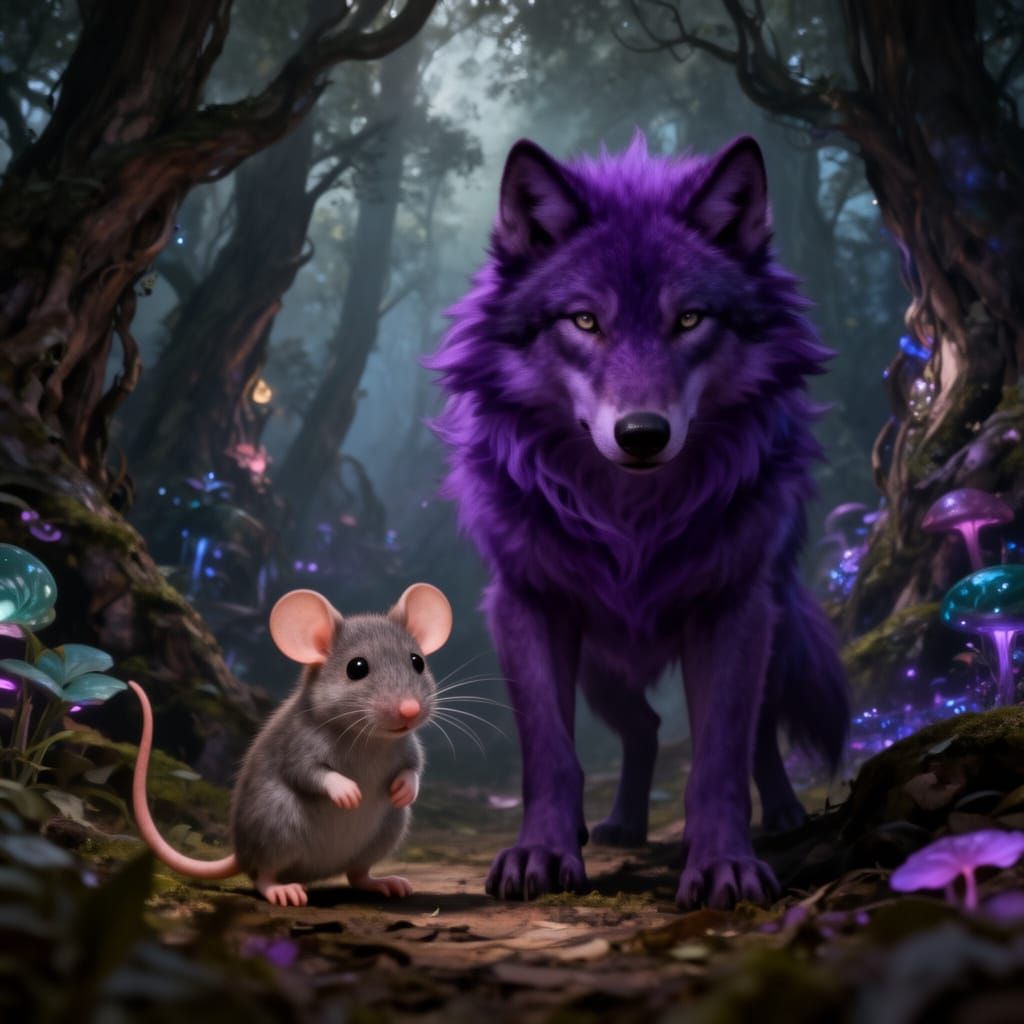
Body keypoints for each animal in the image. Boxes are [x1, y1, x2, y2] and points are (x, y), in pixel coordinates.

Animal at [427, 133, 849, 908]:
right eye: (585, 320)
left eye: (688, 319)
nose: (643, 434)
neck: (631, 517)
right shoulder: (527, 605)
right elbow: (549, 752)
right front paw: (542, 853)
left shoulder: (732, 608)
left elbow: (721, 754)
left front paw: (724, 865)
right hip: (603, 670)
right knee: (646, 727)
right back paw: (619, 825)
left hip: (770, 627)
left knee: (760, 733)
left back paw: (782, 813)